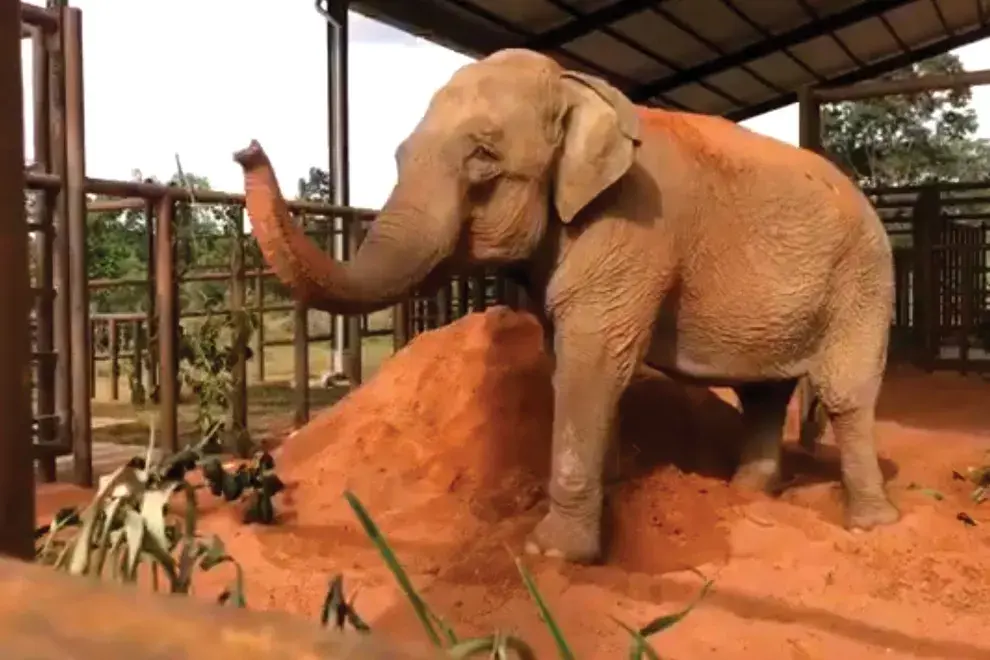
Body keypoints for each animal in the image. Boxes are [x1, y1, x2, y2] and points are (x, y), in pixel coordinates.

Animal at [232, 47, 900, 564]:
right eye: (398, 156)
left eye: (483, 158)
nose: (247, 147)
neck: (579, 89)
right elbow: (571, 362)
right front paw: (612, 491)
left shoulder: (632, 226)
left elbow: (593, 360)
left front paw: (551, 552)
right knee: (763, 391)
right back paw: (749, 494)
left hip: (863, 279)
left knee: (845, 393)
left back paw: (872, 524)